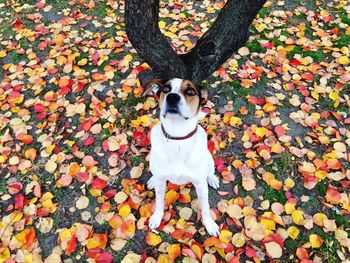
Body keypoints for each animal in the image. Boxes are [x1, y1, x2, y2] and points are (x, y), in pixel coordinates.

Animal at [142, 77, 219, 236]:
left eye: (190, 91)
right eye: (166, 89)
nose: (172, 97)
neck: (177, 138)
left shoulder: (200, 184)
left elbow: (206, 207)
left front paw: (210, 225)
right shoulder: (161, 182)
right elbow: (159, 202)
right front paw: (156, 217)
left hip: (209, 159)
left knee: (209, 171)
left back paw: (212, 178)